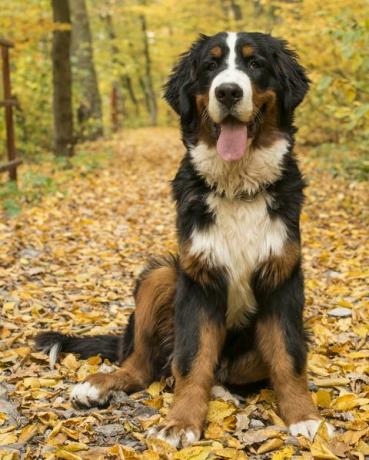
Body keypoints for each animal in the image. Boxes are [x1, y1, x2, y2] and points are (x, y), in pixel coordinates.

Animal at [35, 31, 334, 446]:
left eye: (255, 64)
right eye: (210, 66)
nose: (227, 91)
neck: (237, 189)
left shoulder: (282, 278)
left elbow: (288, 358)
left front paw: (305, 417)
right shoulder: (198, 280)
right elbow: (193, 360)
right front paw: (181, 422)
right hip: (160, 275)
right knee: (144, 364)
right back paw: (98, 385)